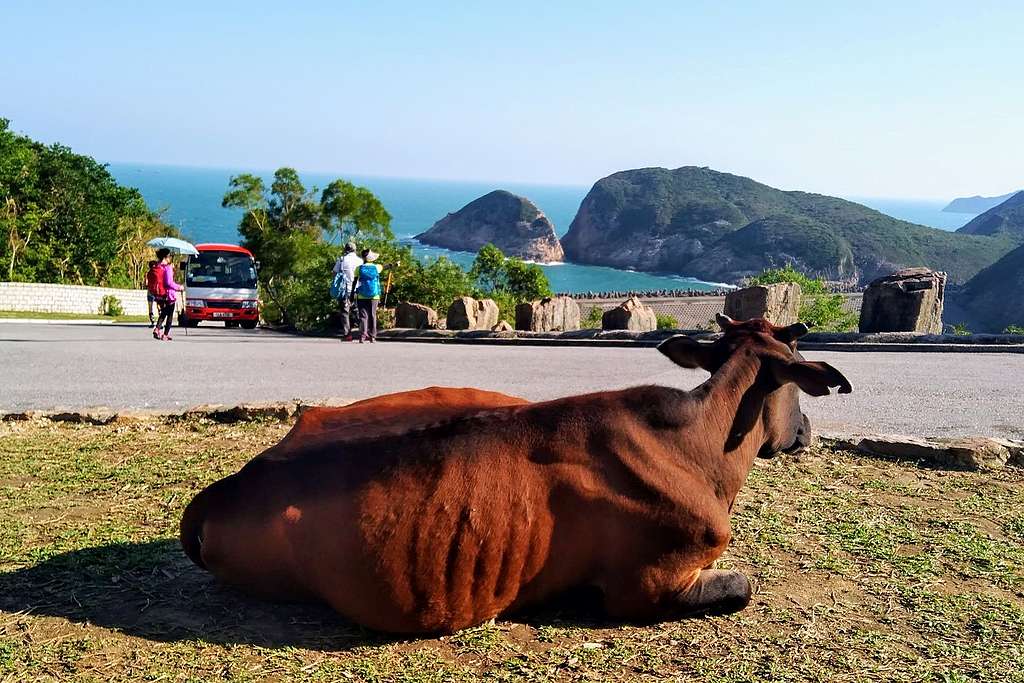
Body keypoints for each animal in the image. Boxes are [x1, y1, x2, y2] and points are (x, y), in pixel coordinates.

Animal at [180, 317, 851, 634]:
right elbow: (743, 587)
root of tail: (230, 487)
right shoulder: (646, 586)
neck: (697, 444)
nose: (805, 430)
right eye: (796, 379)